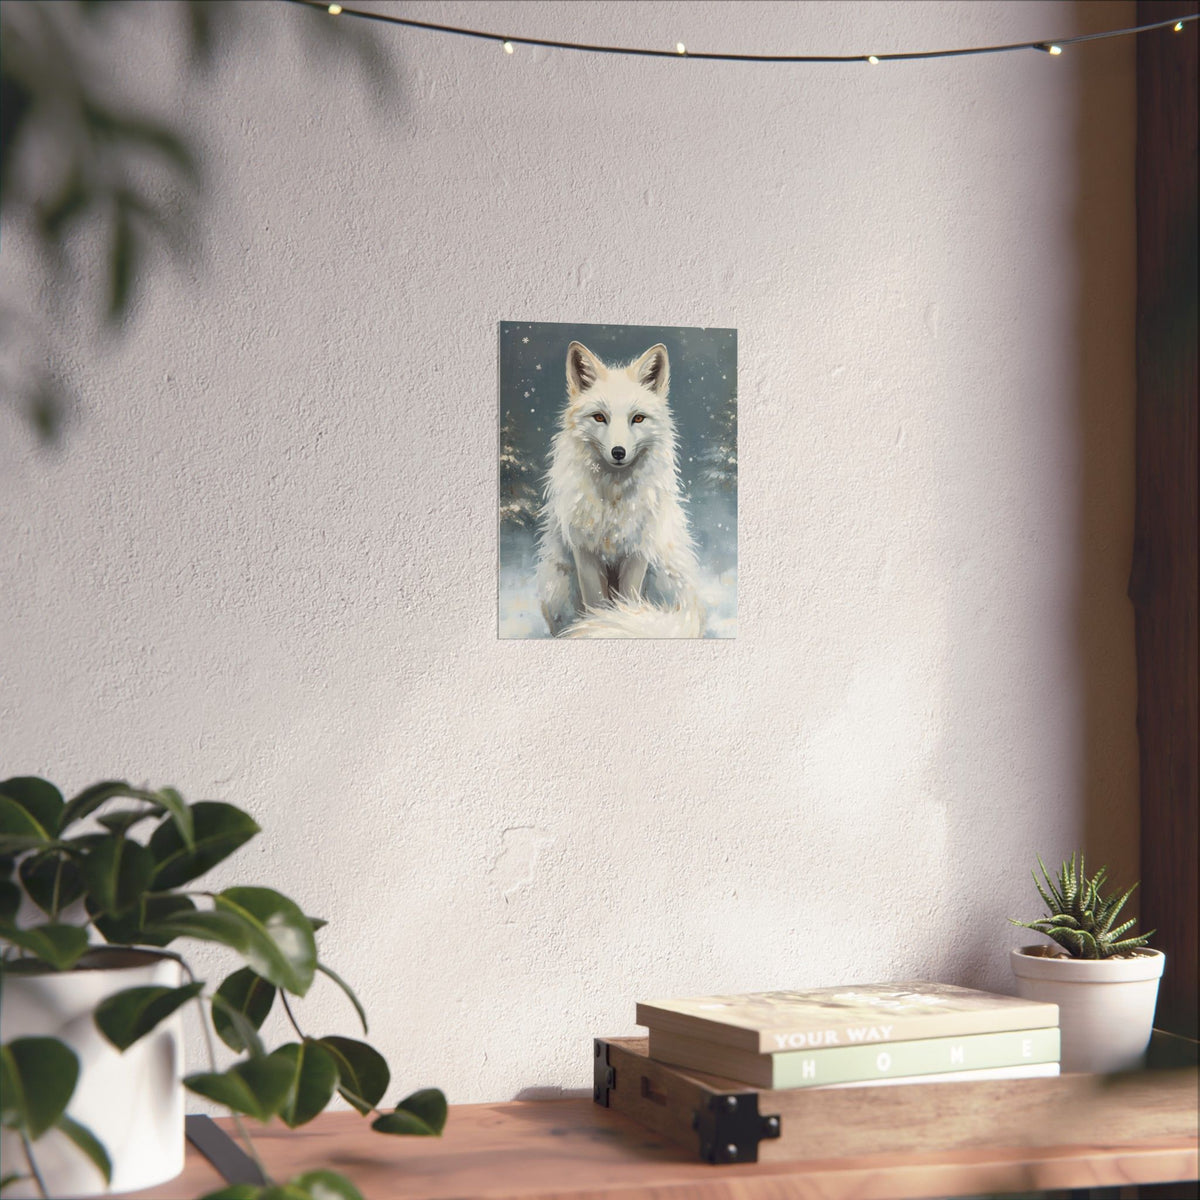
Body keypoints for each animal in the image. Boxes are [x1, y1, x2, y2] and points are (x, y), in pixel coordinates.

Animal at [535, 340, 703, 638]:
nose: (618, 452)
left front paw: (612, 622)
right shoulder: (585, 552)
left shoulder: (637, 551)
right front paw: (595, 625)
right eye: (599, 417)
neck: (613, 501)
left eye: (638, 419)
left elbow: (627, 603)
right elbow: (596, 604)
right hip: (558, 585)